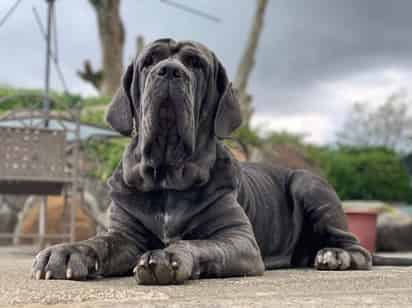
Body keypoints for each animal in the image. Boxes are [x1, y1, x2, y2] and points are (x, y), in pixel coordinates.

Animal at [31, 39, 406, 286]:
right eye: (149, 61)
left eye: (196, 63)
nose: (169, 71)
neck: (167, 179)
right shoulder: (124, 235)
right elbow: (100, 242)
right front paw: (66, 252)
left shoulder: (238, 241)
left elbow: (198, 244)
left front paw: (167, 256)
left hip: (308, 184)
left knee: (357, 247)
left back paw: (335, 255)